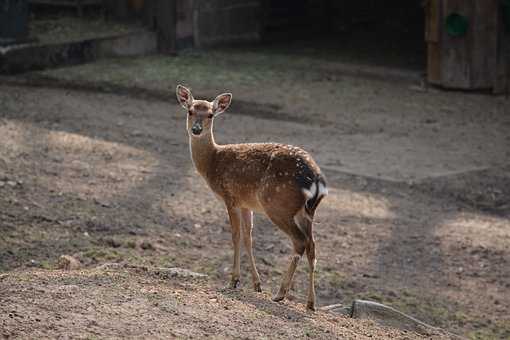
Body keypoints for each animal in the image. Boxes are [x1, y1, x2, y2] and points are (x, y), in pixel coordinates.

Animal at [175, 83, 326, 310]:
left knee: (300, 241)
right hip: (306, 212)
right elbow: (248, 238)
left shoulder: (230, 196)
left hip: (278, 205)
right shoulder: (247, 203)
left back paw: (280, 293)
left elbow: (236, 236)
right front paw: (256, 284)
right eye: (190, 111)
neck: (212, 162)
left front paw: (234, 280)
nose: (196, 129)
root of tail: (315, 178)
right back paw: (310, 303)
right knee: (312, 246)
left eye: (210, 114)